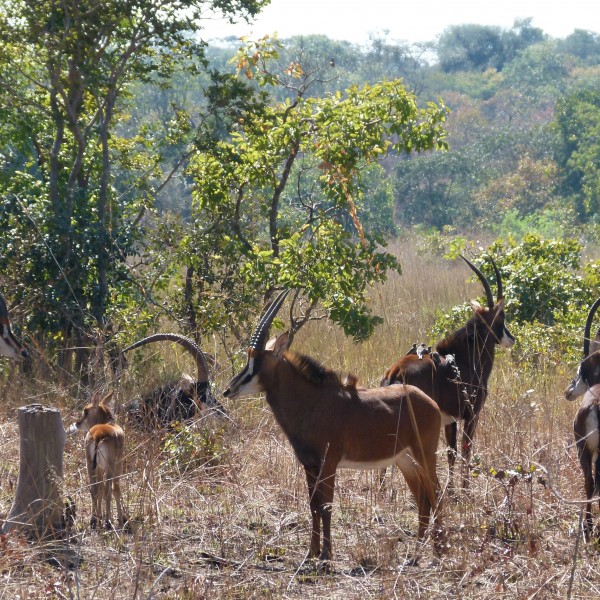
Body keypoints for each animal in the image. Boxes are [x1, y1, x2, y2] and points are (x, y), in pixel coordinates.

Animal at [67, 394, 127, 528]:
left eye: (86, 410)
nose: (77, 423)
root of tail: (98, 435)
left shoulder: (99, 467)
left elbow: (99, 488)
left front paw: (99, 516)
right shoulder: (118, 464)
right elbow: (115, 488)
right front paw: (121, 518)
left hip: (90, 465)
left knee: (94, 489)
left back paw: (93, 519)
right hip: (110, 466)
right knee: (108, 490)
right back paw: (108, 521)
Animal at [223, 290, 442, 564]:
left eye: (257, 362)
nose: (228, 389)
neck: (312, 401)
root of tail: (430, 403)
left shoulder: (328, 462)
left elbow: (326, 505)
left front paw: (326, 555)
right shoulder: (309, 464)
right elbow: (313, 505)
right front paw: (311, 552)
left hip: (424, 453)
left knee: (436, 493)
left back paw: (439, 551)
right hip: (405, 460)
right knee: (423, 498)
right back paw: (415, 554)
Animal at [380, 255, 516, 486]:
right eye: (502, 317)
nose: (511, 339)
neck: (466, 358)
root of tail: (395, 372)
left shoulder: (450, 420)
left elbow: (451, 453)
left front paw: (452, 490)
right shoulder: (472, 415)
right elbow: (466, 451)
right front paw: (466, 489)